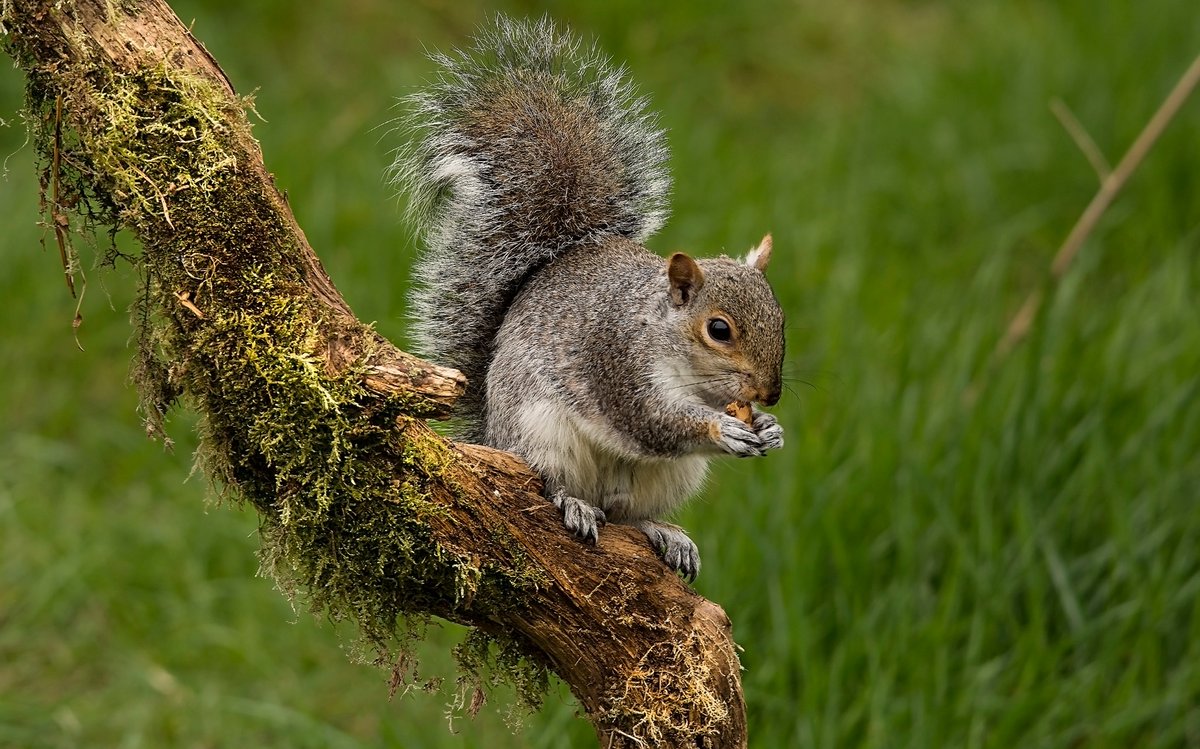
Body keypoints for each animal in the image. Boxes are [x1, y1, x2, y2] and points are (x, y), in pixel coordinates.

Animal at [396, 16, 787, 578]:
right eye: (719, 330)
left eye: (781, 318)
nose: (771, 394)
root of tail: (492, 433)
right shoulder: (618, 365)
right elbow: (655, 420)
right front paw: (721, 429)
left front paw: (772, 428)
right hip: (541, 435)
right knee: (553, 486)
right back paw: (576, 504)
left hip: (668, 478)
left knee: (628, 517)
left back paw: (665, 533)